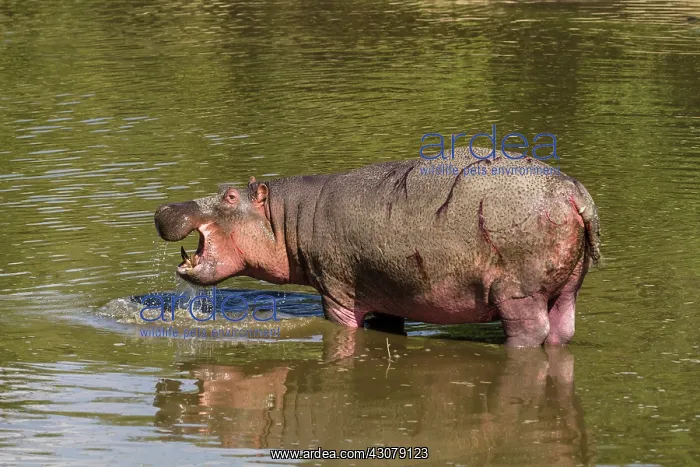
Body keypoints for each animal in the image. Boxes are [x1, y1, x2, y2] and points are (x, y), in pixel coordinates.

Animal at [154, 147, 601, 347]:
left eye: (230, 196)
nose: (164, 207)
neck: (284, 219)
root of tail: (575, 193)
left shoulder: (336, 292)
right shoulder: (390, 290)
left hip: (518, 293)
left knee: (530, 332)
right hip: (568, 287)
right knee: (561, 329)